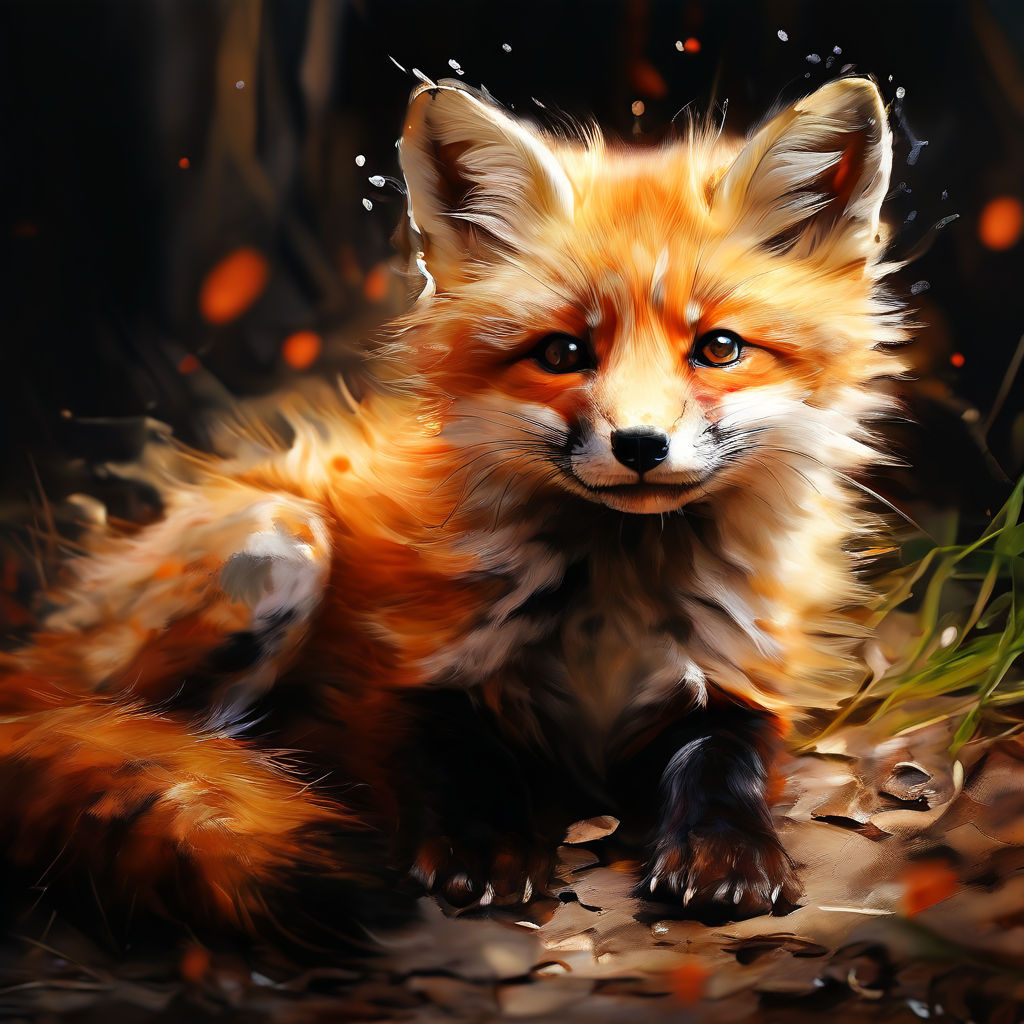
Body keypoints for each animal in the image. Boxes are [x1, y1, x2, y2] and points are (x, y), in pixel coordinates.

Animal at [0, 76, 904, 942]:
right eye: (563, 353)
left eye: (718, 347)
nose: (641, 445)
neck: (613, 610)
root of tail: (35, 658)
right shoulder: (409, 667)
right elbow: (457, 752)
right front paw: (485, 846)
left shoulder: (742, 675)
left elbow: (725, 761)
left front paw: (729, 848)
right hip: (282, 543)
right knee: (166, 737)